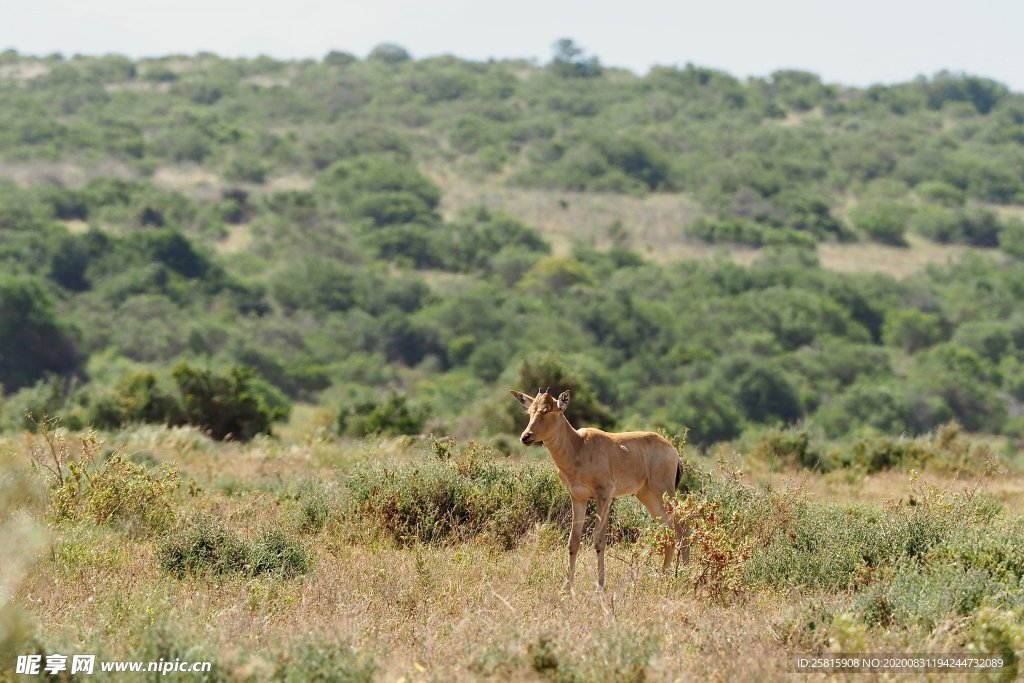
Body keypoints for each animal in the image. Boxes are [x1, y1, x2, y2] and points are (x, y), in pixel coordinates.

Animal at [509, 387, 688, 589]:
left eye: (548, 410)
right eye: (530, 411)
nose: (526, 437)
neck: (579, 445)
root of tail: (673, 450)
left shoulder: (604, 496)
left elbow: (599, 540)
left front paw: (601, 585)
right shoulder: (578, 498)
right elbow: (573, 541)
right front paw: (567, 587)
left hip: (665, 492)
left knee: (682, 527)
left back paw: (686, 575)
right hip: (647, 495)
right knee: (669, 530)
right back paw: (665, 576)